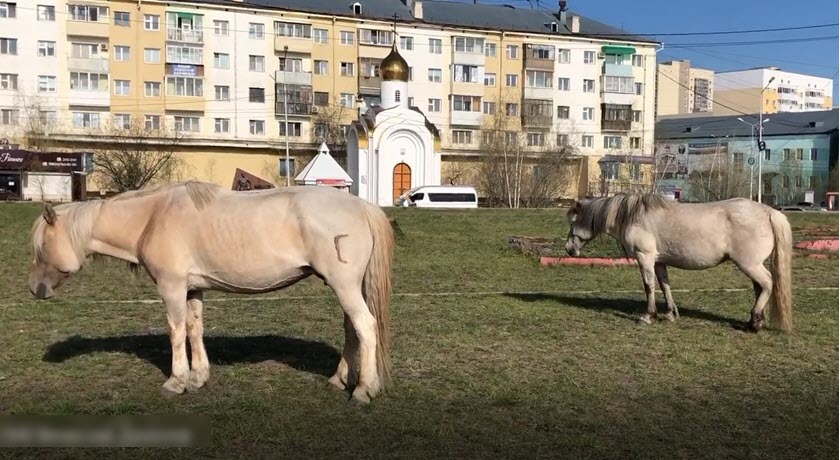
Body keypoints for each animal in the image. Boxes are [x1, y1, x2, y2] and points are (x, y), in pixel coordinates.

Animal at [27, 180, 394, 402]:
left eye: (42, 246)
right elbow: (194, 329)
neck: (152, 218)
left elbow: (176, 332)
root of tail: (362, 206)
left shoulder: (172, 287)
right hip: (345, 287)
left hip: (344, 286)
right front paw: (198, 376)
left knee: (365, 327)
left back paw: (363, 389)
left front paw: (177, 381)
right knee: (351, 330)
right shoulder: (192, 289)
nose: (33, 288)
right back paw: (340, 379)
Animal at [564, 192, 796, 332]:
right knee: (760, 287)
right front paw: (669, 313)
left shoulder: (645, 257)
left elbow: (649, 286)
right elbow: (664, 285)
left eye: (573, 222)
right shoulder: (658, 261)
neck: (634, 217)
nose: (569, 249)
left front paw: (648, 316)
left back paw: (755, 321)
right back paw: (753, 321)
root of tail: (769, 212)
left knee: (768, 283)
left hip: (749, 265)